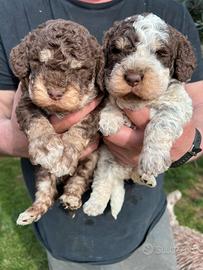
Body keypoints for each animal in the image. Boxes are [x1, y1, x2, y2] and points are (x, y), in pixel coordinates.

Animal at [9, 19, 104, 225]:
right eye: (39, 62)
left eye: (79, 69)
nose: (55, 93)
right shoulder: (25, 101)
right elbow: (36, 119)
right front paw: (46, 146)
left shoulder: (97, 107)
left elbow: (82, 126)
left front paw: (66, 152)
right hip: (44, 171)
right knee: (46, 193)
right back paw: (31, 213)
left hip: (91, 160)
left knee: (78, 180)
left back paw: (71, 198)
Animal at [83, 13, 196, 219]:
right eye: (117, 50)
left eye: (160, 53)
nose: (132, 78)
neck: (139, 101)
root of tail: (123, 172)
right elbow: (113, 99)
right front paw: (110, 118)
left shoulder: (178, 103)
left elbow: (161, 124)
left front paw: (153, 158)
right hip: (106, 161)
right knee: (103, 182)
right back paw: (94, 205)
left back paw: (146, 177)